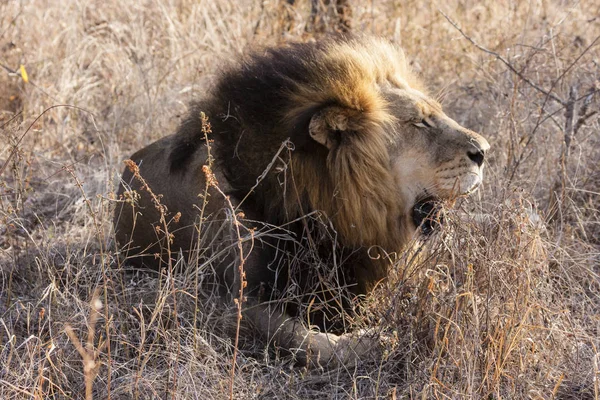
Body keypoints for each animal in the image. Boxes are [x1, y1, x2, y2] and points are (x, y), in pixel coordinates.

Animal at [115, 36, 490, 368]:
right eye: (420, 122)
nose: (485, 151)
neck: (320, 204)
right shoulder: (234, 302)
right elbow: (303, 339)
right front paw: (376, 342)